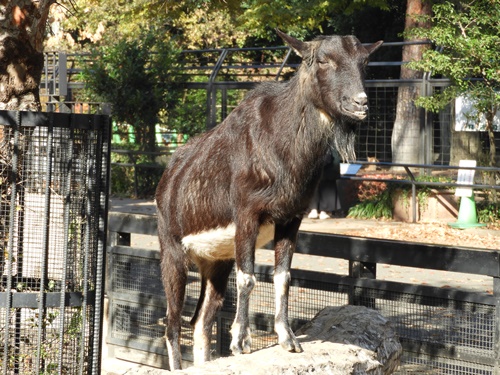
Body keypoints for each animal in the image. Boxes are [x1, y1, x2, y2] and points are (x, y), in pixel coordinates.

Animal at [156, 30, 382, 370]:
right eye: (322, 60)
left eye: (365, 62)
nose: (360, 103)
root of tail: (167, 179)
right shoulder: (246, 214)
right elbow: (248, 278)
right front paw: (240, 342)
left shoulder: (291, 218)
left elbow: (283, 276)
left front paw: (288, 339)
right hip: (172, 253)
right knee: (171, 324)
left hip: (215, 262)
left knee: (201, 321)